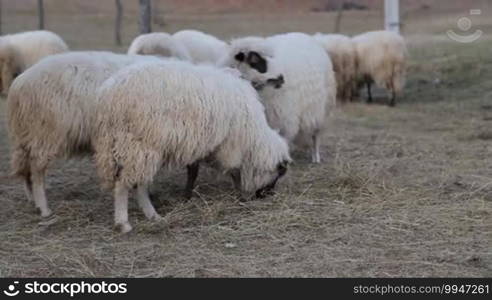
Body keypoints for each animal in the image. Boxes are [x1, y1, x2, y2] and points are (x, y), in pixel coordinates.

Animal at [7, 51, 161, 220]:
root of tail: (19, 82)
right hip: (45, 133)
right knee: (37, 171)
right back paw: (44, 208)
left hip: (26, 136)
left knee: (25, 169)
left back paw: (32, 199)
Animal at [93, 59, 290, 231]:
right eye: (278, 174)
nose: (266, 196)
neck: (254, 137)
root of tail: (109, 95)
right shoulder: (230, 145)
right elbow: (234, 171)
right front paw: (241, 196)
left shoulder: (199, 145)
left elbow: (193, 172)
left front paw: (187, 196)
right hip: (140, 144)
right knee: (125, 184)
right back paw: (124, 222)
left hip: (126, 145)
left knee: (138, 183)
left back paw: (153, 216)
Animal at [221, 32, 336, 163]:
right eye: (256, 61)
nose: (281, 78)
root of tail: (304, 36)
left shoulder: (283, 121)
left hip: (322, 110)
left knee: (315, 135)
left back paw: (315, 157)